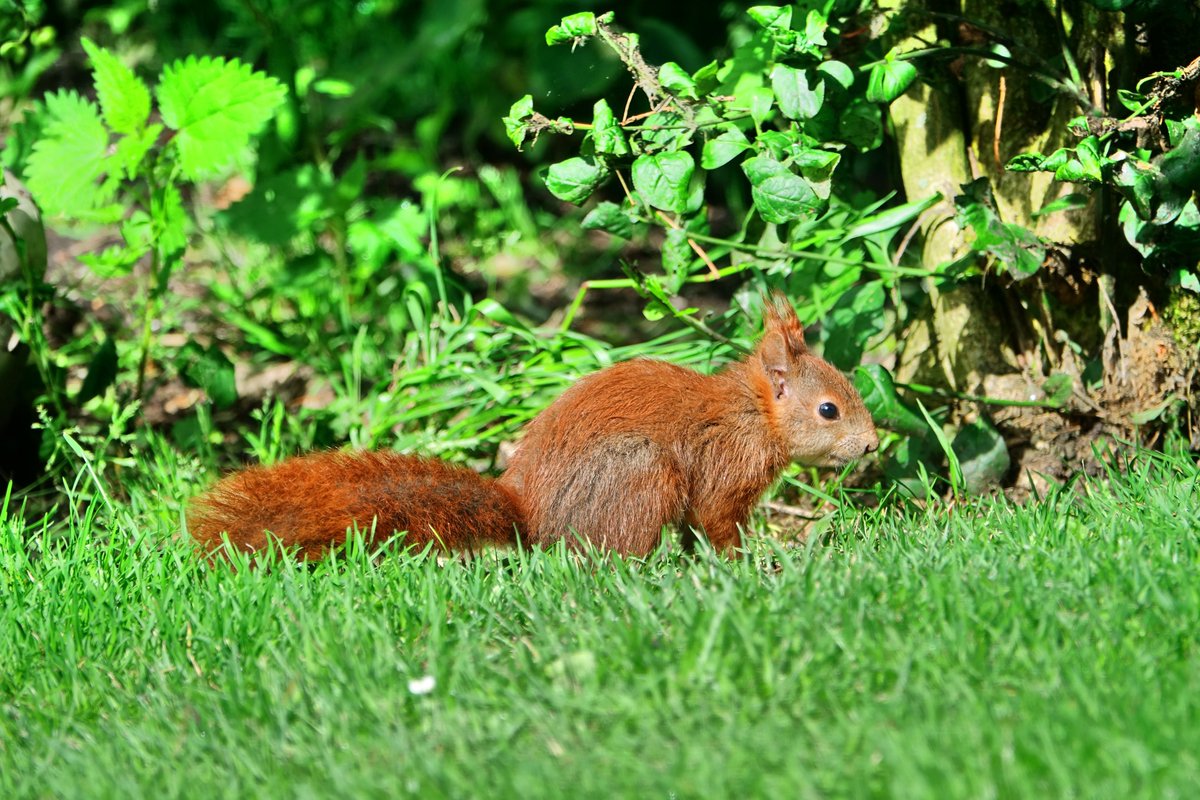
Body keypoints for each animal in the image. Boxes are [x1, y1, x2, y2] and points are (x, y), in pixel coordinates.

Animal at [187, 295, 879, 559]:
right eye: (829, 410)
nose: (873, 444)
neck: (753, 414)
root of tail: (529, 515)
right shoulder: (725, 470)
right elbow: (717, 522)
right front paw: (747, 564)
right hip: (642, 476)